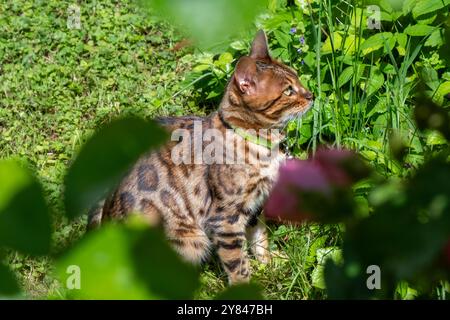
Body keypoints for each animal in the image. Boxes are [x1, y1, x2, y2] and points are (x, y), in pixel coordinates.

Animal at [88, 31, 312, 284]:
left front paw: (270, 263)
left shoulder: (255, 206)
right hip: (187, 240)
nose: (311, 95)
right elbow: (238, 264)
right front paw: (246, 285)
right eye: (288, 91)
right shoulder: (225, 219)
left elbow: (259, 238)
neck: (259, 143)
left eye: (298, 78)